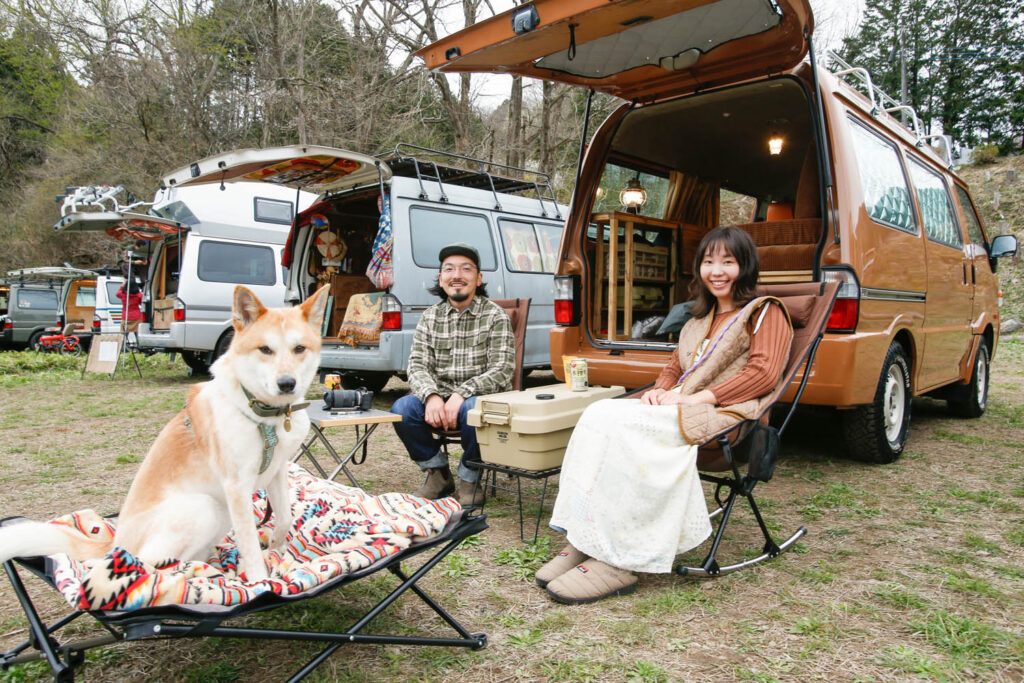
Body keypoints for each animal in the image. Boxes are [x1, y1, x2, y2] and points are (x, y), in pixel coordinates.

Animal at [0, 284, 327, 581]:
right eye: (265, 349)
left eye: (299, 348)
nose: (287, 384)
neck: (263, 414)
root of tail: (115, 542)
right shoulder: (236, 486)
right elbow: (249, 542)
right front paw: (259, 580)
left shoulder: (276, 471)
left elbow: (284, 519)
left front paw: (274, 547)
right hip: (205, 506)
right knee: (144, 563)